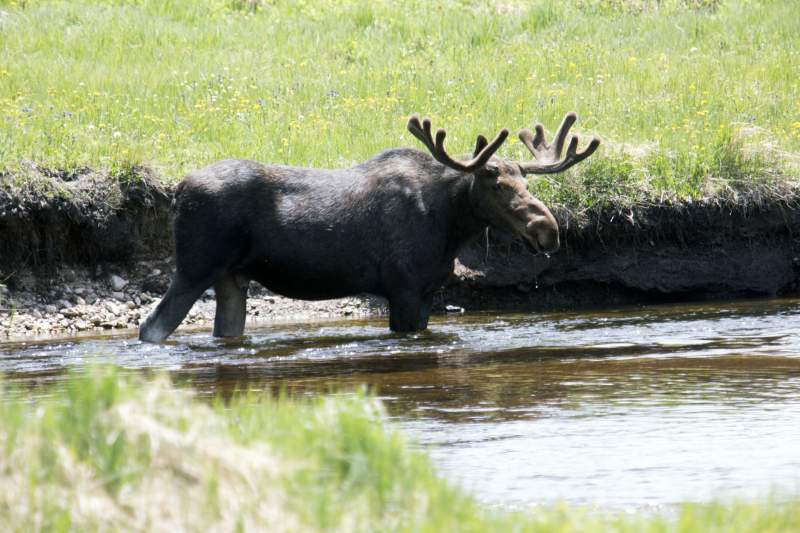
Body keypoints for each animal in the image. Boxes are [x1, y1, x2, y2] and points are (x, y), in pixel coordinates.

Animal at [139, 112, 600, 340]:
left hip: (232, 277)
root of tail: (178, 191)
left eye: (526, 181)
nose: (547, 229)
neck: (451, 227)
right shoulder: (404, 289)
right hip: (195, 267)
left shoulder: (427, 293)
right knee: (151, 326)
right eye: (497, 183)